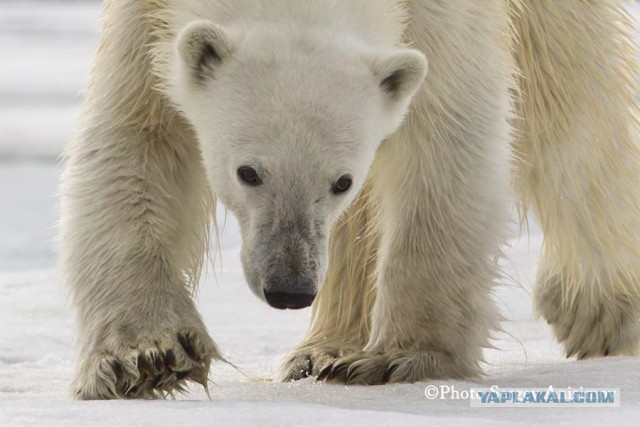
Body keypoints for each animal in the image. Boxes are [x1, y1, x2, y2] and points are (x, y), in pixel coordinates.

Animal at [62, 0, 640, 402]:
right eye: (248, 172)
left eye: (341, 180)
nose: (290, 288)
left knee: (569, 103)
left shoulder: (444, 21)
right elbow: (135, 144)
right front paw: (146, 358)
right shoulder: (145, 21)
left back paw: (597, 305)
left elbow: (446, 140)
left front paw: (401, 358)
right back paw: (325, 351)